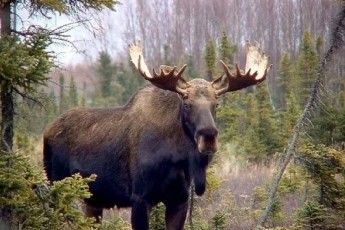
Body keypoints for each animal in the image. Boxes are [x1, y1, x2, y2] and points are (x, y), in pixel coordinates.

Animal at [42, 41, 268, 230]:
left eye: (216, 104)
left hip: (92, 199)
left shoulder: (178, 200)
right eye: (186, 103)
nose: (209, 136)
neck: (177, 158)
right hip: (56, 186)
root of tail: (47, 131)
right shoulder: (140, 198)